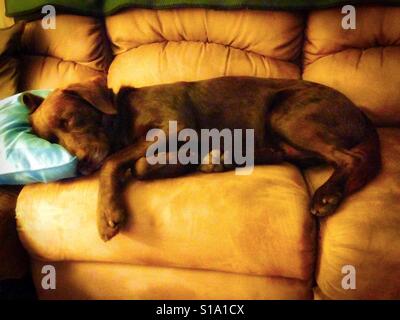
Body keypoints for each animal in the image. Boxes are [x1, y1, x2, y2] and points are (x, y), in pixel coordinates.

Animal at [22, 77, 382, 240]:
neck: (122, 116)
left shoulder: (173, 125)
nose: (81, 165)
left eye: (70, 119)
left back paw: (326, 196)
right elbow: (138, 163)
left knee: (350, 159)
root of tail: (360, 113)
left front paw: (107, 214)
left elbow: (125, 162)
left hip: (288, 115)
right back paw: (221, 159)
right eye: (51, 141)